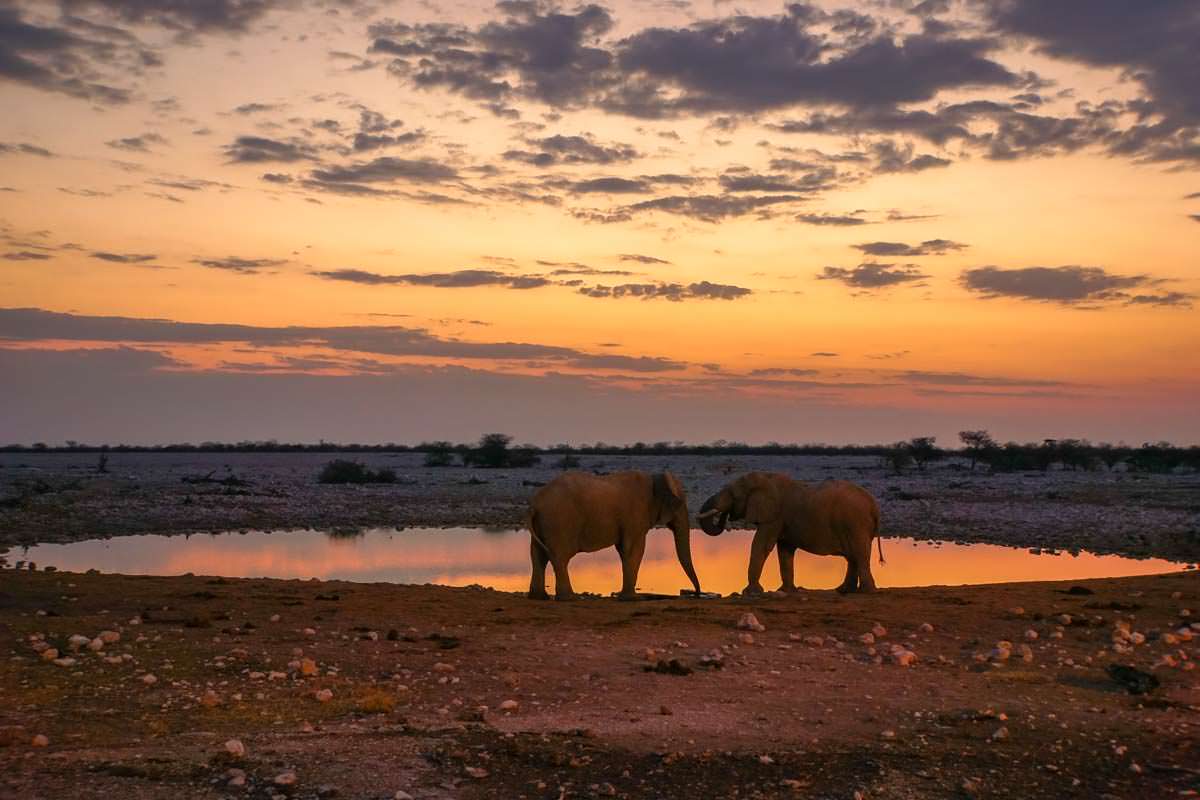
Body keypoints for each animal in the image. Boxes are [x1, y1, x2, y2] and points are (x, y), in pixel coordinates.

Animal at [528, 470, 700, 599]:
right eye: (680, 504)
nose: (696, 594)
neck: (654, 478)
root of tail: (535, 503)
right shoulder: (635, 516)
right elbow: (635, 550)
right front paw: (632, 599)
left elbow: (624, 551)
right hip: (559, 522)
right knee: (559, 556)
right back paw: (569, 598)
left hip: (545, 523)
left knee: (538, 555)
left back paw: (539, 597)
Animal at [696, 474, 883, 594]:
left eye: (733, 495)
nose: (725, 515)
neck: (765, 478)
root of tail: (873, 504)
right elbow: (784, 550)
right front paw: (785, 591)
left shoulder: (774, 517)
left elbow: (762, 545)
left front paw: (751, 592)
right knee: (854, 556)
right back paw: (844, 590)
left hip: (855, 523)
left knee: (859, 554)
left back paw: (866, 592)